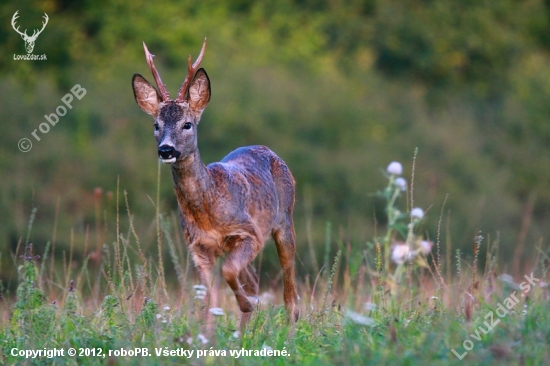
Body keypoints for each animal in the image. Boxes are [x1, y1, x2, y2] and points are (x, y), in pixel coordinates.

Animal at [132, 38, 300, 330]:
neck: (208, 209)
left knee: (290, 292)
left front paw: (247, 304)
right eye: (156, 124)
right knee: (254, 280)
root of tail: (268, 149)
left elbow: (229, 271)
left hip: (285, 220)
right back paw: (245, 333)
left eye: (187, 124)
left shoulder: (250, 233)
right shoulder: (198, 248)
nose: (166, 149)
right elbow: (209, 302)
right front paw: (208, 336)